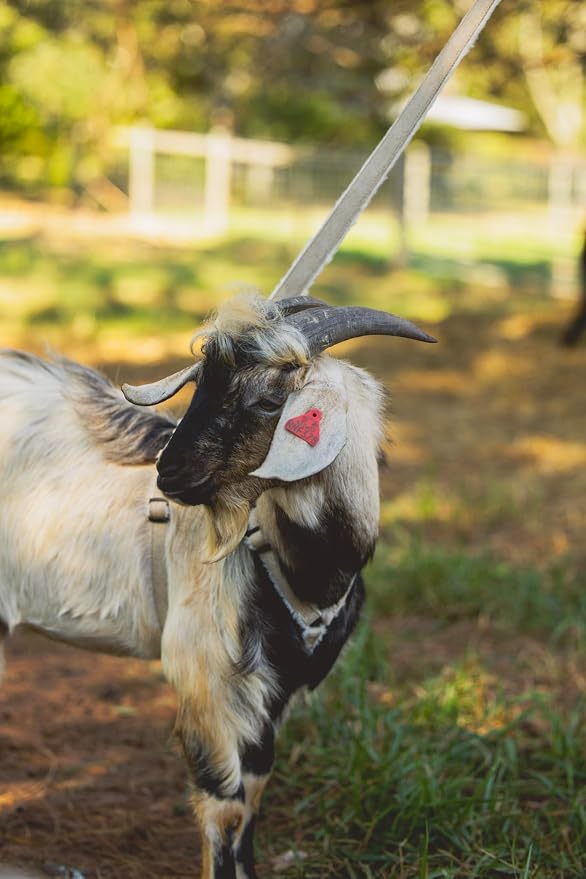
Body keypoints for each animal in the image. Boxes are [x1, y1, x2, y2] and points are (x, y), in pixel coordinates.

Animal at [0, 293, 435, 878]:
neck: (302, 572)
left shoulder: (276, 689)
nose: (169, 472)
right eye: (200, 384)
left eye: (270, 402)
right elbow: (224, 806)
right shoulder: (206, 678)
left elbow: (254, 793)